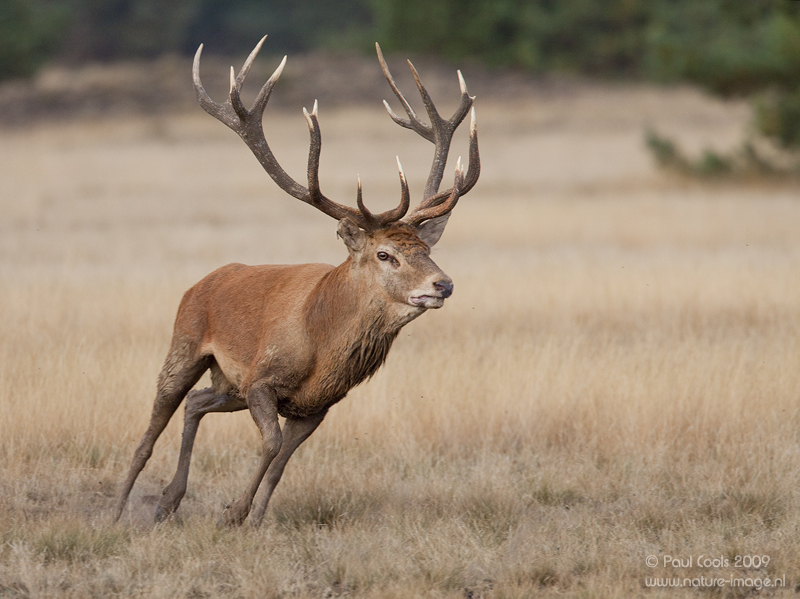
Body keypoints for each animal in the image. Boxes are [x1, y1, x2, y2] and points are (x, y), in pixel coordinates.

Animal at [111, 35, 476, 528]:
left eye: (427, 250)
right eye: (385, 254)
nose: (443, 285)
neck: (322, 349)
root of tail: (200, 283)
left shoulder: (316, 406)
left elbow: (282, 462)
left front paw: (256, 521)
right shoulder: (263, 380)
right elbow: (271, 444)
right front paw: (234, 513)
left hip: (228, 385)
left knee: (197, 403)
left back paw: (169, 499)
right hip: (185, 345)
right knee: (153, 426)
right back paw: (117, 511)